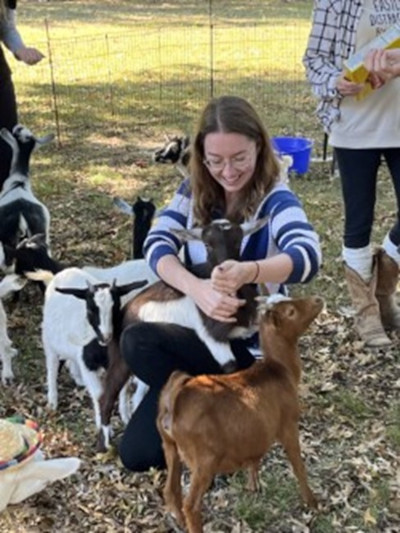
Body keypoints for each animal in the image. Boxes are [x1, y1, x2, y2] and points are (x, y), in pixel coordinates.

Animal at [157, 294, 324, 532]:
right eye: (291, 311)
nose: (318, 300)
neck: (280, 370)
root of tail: (174, 400)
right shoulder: (288, 424)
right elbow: (298, 465)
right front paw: (312, 502)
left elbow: (254, 459)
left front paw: (253, 486)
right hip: (204, 459)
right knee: (191, 504)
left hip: (169, 446)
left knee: (171, 491)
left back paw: (179, 521)